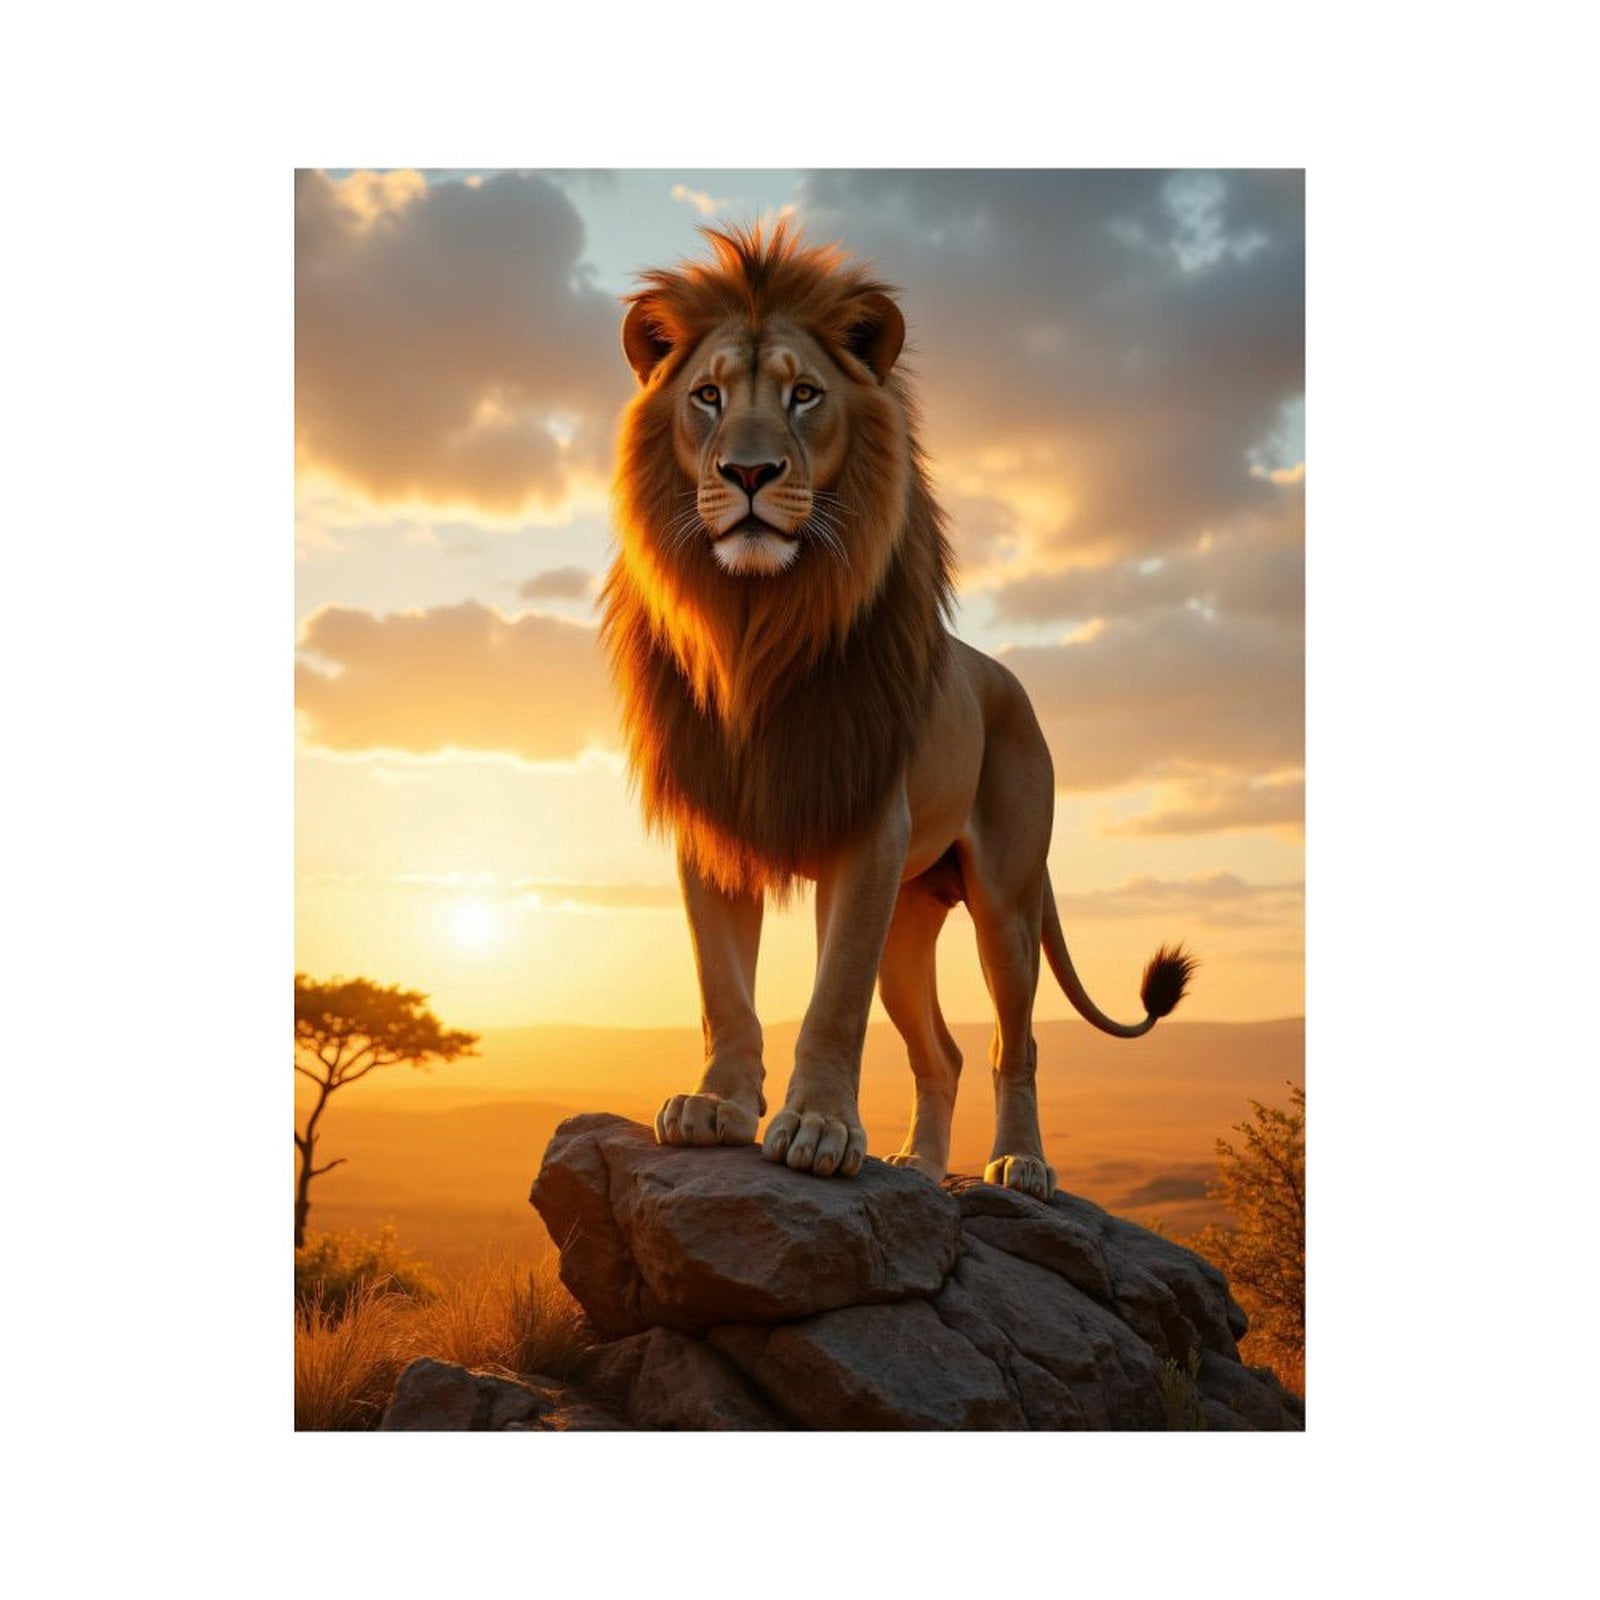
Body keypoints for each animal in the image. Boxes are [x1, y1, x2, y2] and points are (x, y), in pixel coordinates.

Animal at [599, 223, 1194, 1199]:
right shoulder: (714, 832)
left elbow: (832, 1001)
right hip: (912, 921)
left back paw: (1020, 1165)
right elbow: (723, 987)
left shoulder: (869, 833)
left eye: (804, 394)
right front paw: (716, 1106)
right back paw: (915, 1165)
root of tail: (1006, 679)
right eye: (706, 397)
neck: (754, 625)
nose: (750, 471)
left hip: (1005, 901)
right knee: (940, 1053)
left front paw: (818, 1130)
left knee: (1012, 1045)